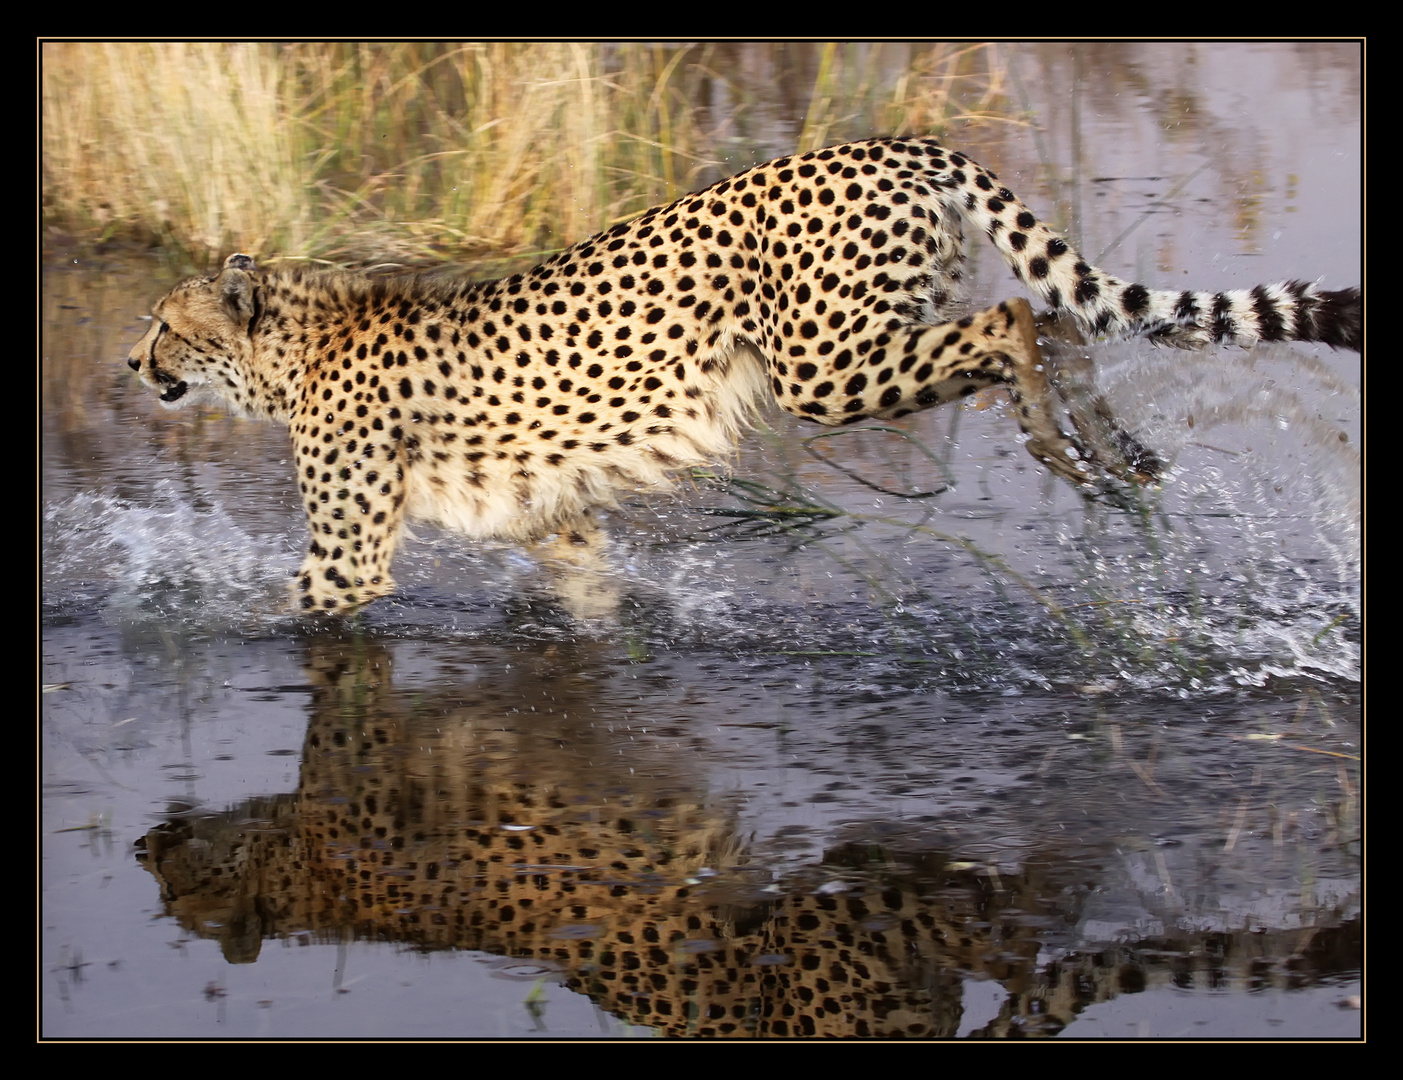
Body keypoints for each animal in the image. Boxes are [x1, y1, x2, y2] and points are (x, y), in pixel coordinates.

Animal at [131, 137, 1358, 611]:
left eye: (162, 323)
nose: (132, 361)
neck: (294, 343)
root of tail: (887, 142)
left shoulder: (348, 559)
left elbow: (287, 608)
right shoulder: (551, 516)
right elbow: (591, 597)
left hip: (831, 366)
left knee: (1018, 320)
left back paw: (1060, 446)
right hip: (873, 336)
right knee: (1060, 324)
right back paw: (1116, 458)